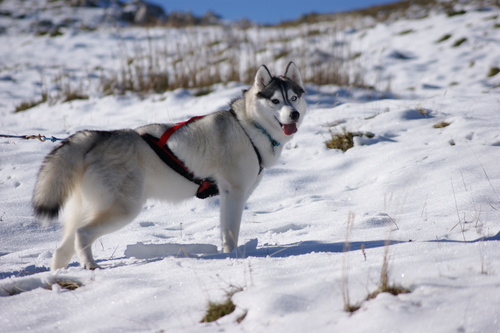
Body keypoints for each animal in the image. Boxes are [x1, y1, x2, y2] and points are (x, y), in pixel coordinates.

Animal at [33, 62, 306, 270]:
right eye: (275, 101)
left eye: (293, 98)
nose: (294, 114)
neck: (248, 126)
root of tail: (96, 137)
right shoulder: (234, 193)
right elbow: (230, 234)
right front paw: (232, 257)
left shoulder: (231, 196)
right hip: (123, 209)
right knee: (83, 234)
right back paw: (91, 267)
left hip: (83, 209)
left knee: (62, 248)